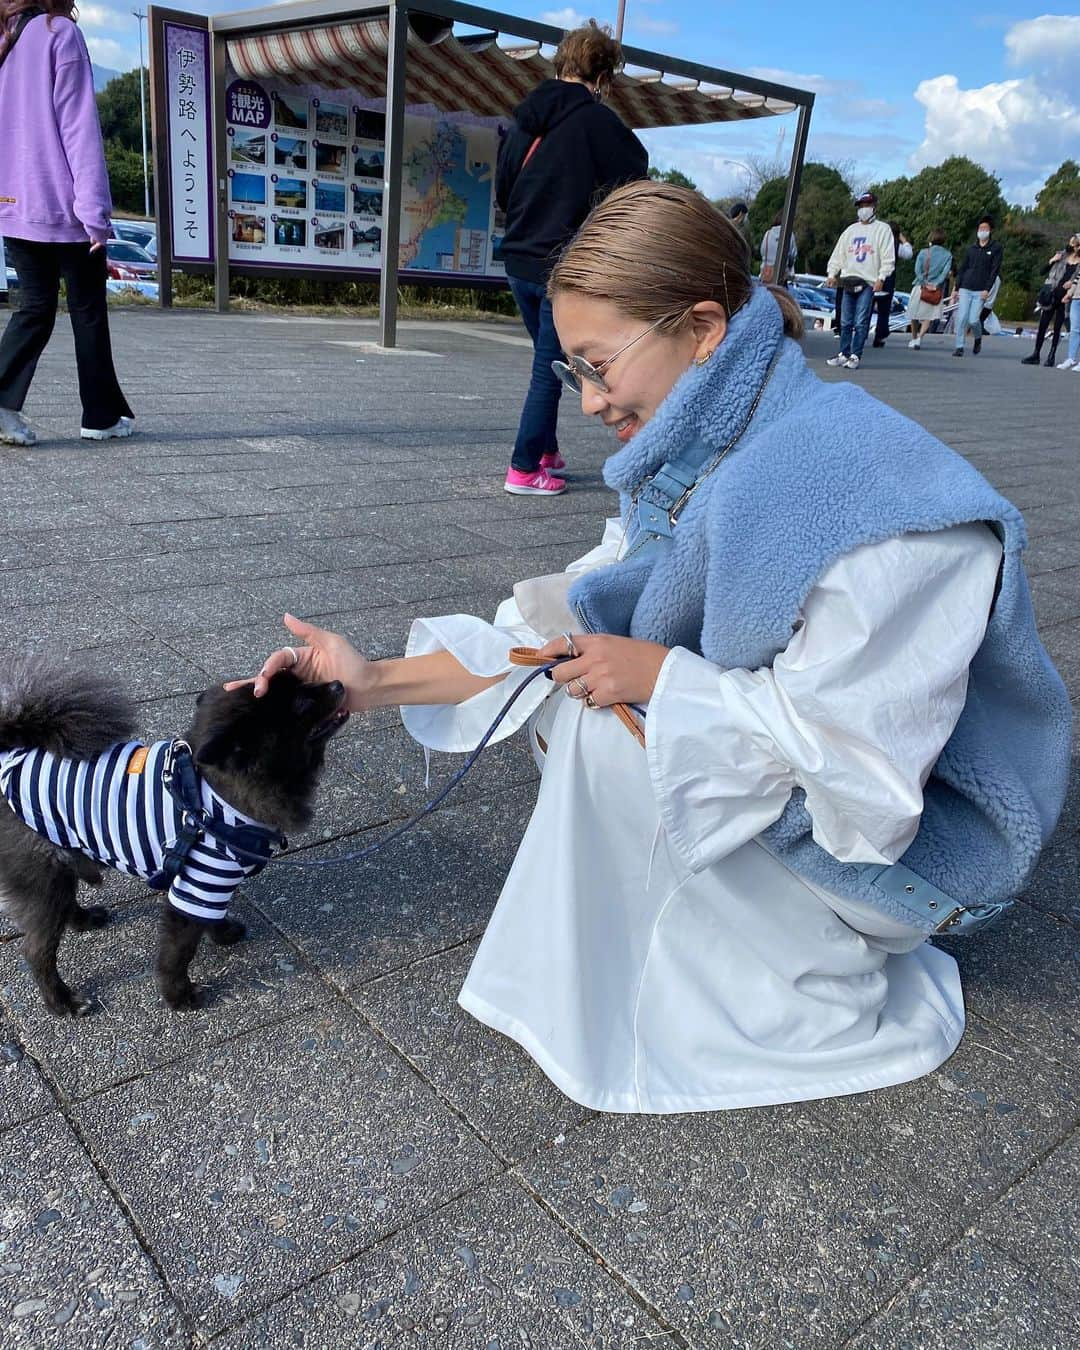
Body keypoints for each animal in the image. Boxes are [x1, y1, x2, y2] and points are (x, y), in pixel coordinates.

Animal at [0, 658, 345, 1015]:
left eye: (304, 682)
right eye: (301, 703)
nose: (338, 684)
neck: (212, 795)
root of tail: (10, 754)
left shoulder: (209, 885)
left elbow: (211, 917)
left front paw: (222, 932)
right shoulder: (201, 880)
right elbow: (179, 950)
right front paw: (178, 995)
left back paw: (83, 919)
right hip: (43, 873)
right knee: (37, 950)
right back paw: (62, 1001)